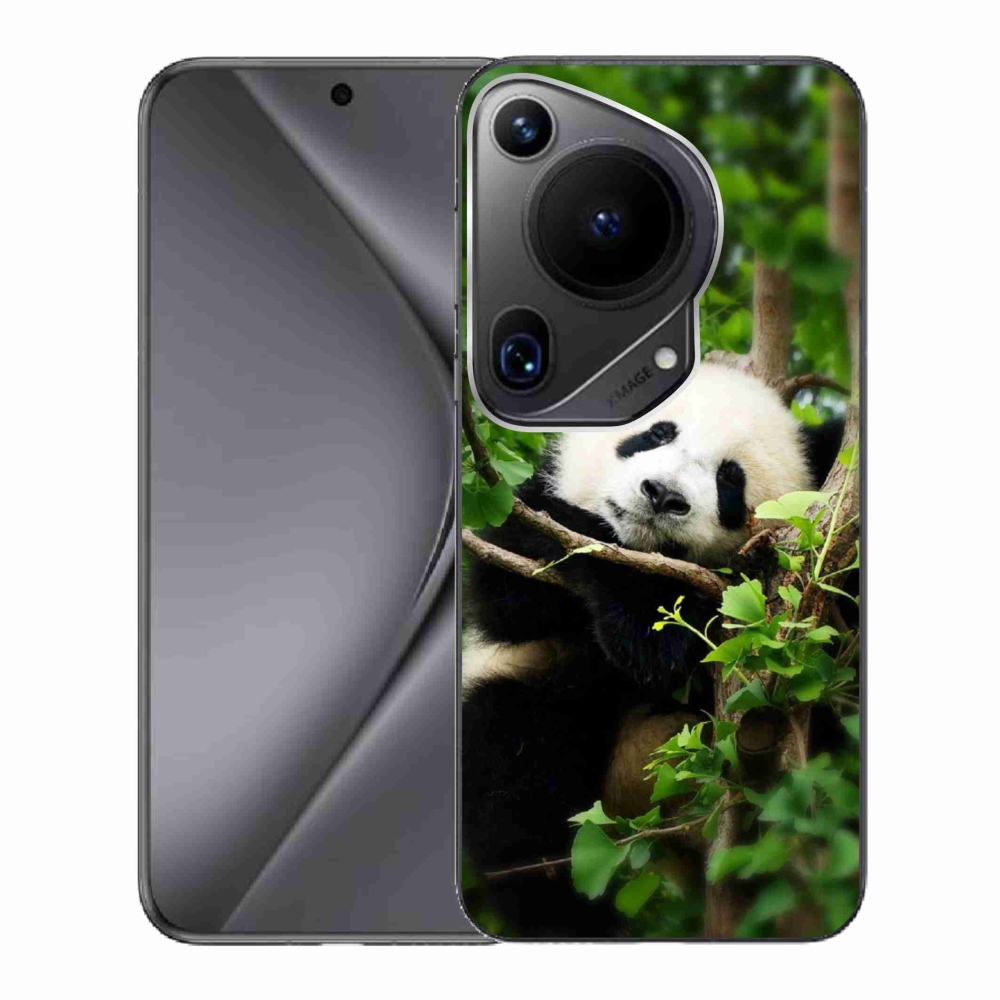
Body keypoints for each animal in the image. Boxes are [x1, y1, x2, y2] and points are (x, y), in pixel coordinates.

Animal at [461, 362, 844, 938]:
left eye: (730, 480)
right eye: (657, 433)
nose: (663, 495)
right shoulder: (515, 545)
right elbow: (510, 587)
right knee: (518, 779)